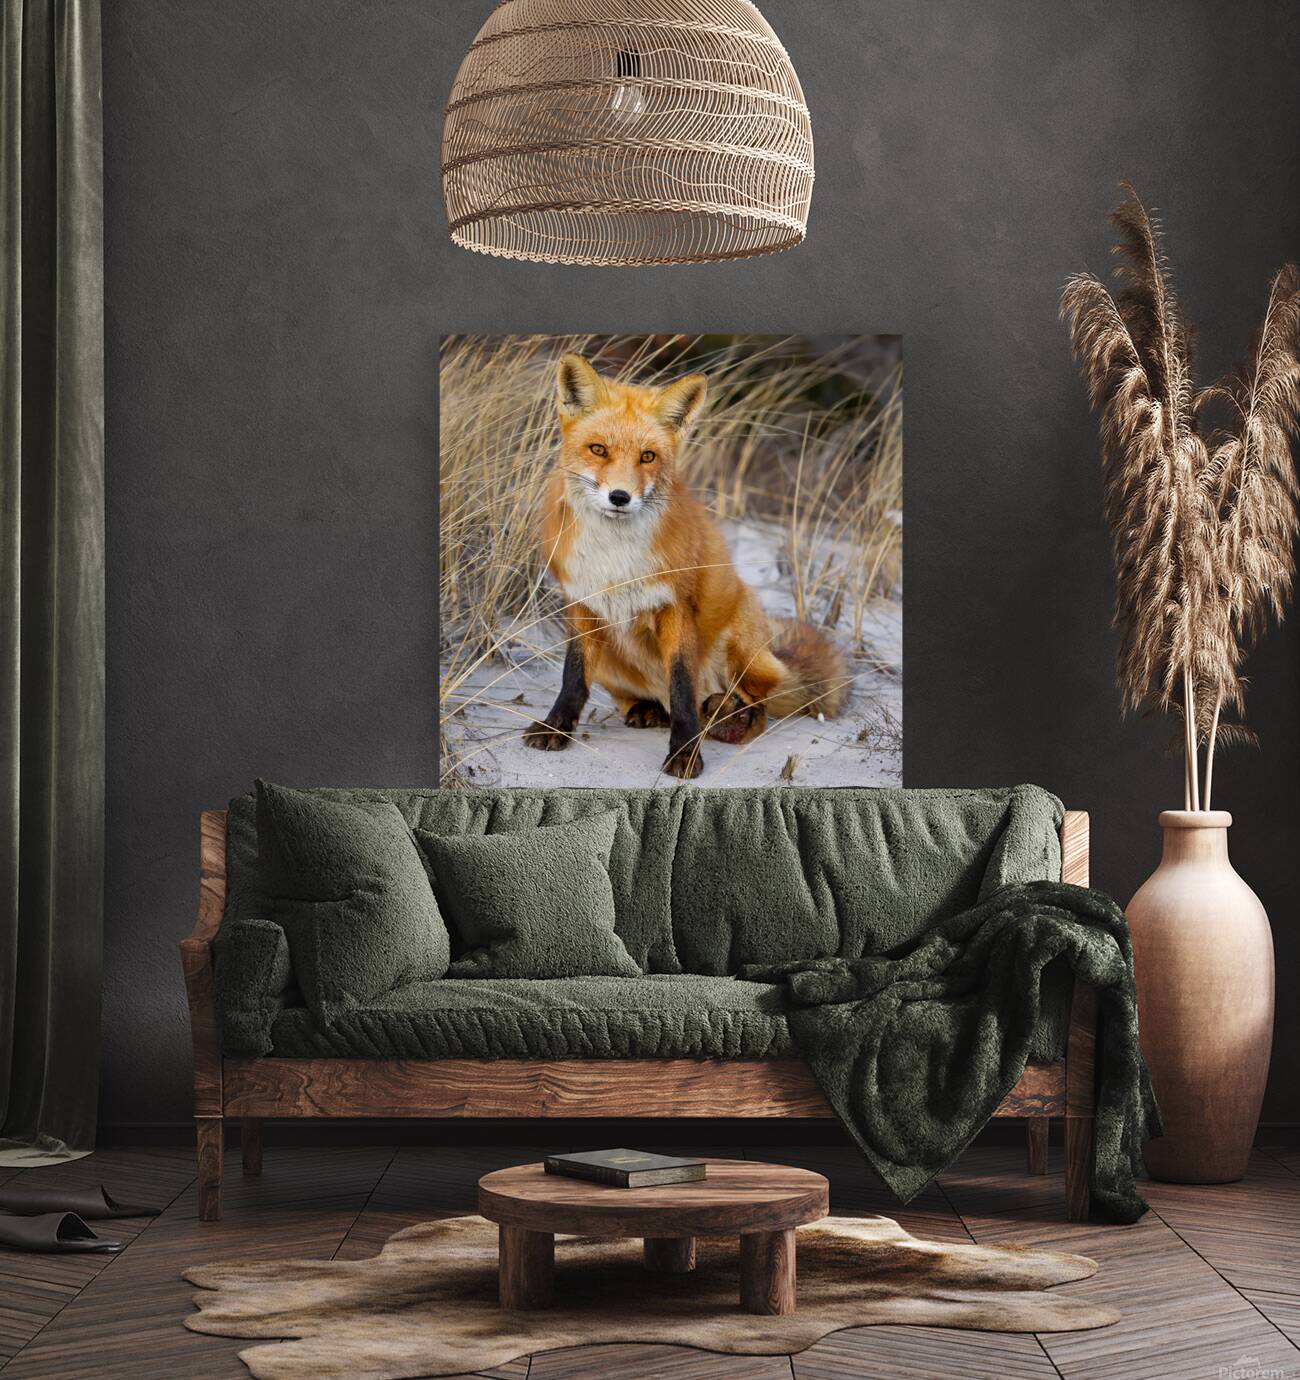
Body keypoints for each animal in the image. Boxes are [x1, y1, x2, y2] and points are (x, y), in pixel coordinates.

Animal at [523, 353, 847, 779]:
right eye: (598, 449)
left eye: (647, 456)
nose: (620, 497)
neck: (615, 557)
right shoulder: (582, 604)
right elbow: (573, 678)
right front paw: (555, 727)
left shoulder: (676, 607)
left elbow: (681, 688)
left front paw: (685, 753)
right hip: (610, 657)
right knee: (646, 699)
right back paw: (647, 710)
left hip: (743, 642)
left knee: (752, 705)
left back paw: (730, 718)